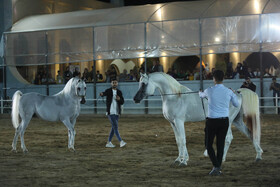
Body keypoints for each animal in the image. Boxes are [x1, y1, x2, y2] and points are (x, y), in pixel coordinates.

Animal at [133, 72, 262, 166]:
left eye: (144, 84)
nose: (135, 99)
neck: (175, 96)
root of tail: (237, 93)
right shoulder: (172, 123)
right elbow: (178, 140)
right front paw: (179, 159)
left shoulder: (179, 121)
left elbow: (183, 139)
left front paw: (183, 161)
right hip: (237, 121)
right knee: (250, 133)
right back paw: (258, 155)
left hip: (228, 121)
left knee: (228, 138)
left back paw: (222, 159)